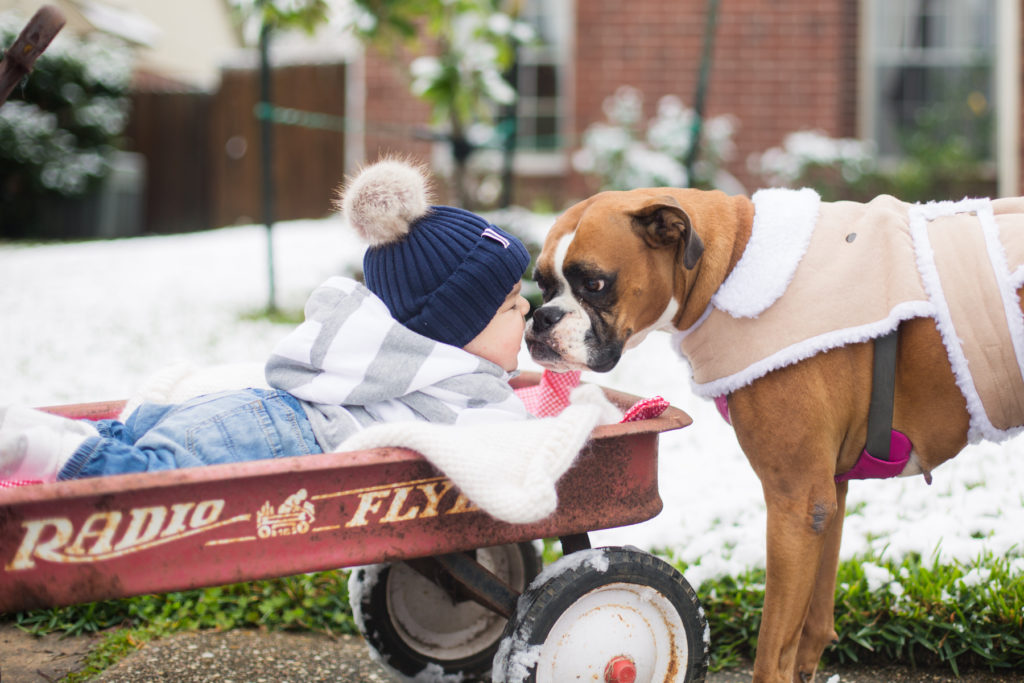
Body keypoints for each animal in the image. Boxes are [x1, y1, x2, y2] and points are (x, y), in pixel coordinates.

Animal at [524, 187, 1024, 683]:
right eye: (543, 285)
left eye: (594, 284)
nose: (540, 317)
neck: (732, 263)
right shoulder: (826, 497)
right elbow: (812, 621)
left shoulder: (795, 503)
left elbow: (772, 650)